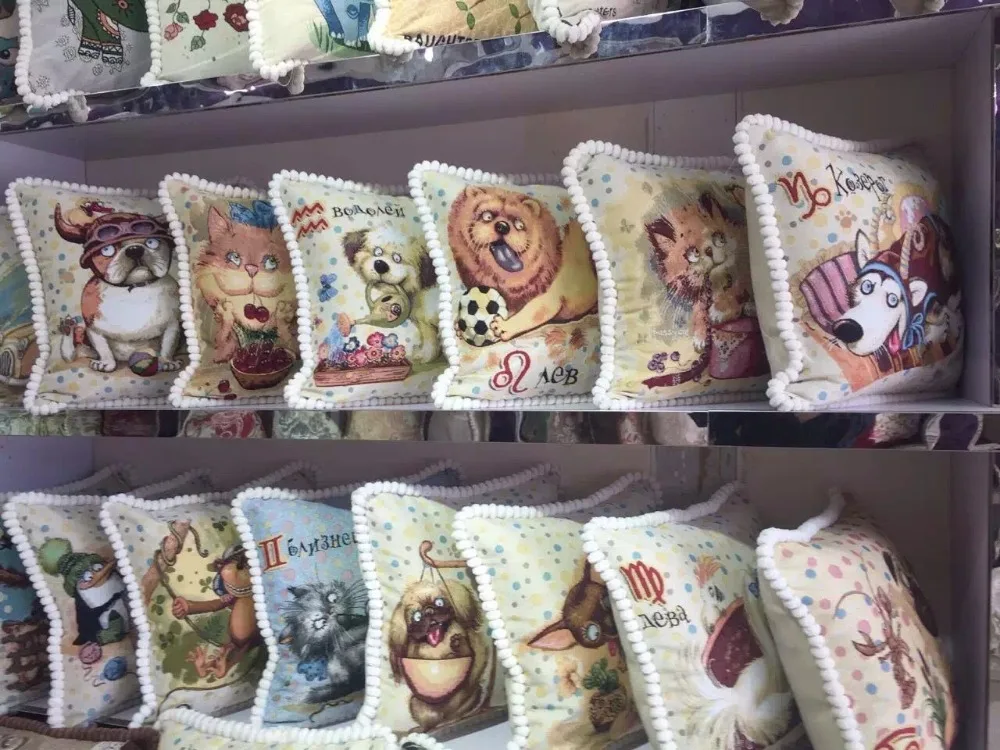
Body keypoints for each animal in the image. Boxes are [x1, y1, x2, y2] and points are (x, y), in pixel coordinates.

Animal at [54, 201, 182, 373]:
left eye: (152, 242)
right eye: (107, 250)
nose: (134, 249)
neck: (133, 289)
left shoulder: (173, 325)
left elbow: (168, 345)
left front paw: (166, 361)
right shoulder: (94, 329)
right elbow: (103, 349)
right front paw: (105, 364)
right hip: (81, 337)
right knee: (71, 354)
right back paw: (67, 330)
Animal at [195, 200, 298, 364]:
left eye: (271, 261)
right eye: (234, 257)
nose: (251, 269)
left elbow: (289, 339)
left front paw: (283, 314)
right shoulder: (224, 348)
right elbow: (222, 344)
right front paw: (225, 312)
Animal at [343, 228, 440, 363]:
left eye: (397, 258)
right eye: (377, 252)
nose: (380, 265)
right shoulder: (424, 321)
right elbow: (429, 338)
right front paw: (425, 355)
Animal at [388, 578, 490, 731]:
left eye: (439, 602)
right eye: (417, 616)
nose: (429, 610)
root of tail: (445, 716)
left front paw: (458, 644)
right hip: (416, 704)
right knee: (430, 723)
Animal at [447, 185, 597, 342]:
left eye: (519, 225)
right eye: (487, 216)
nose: (502, 226)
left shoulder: (551, 295)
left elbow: (530, 314)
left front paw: (502, 327)